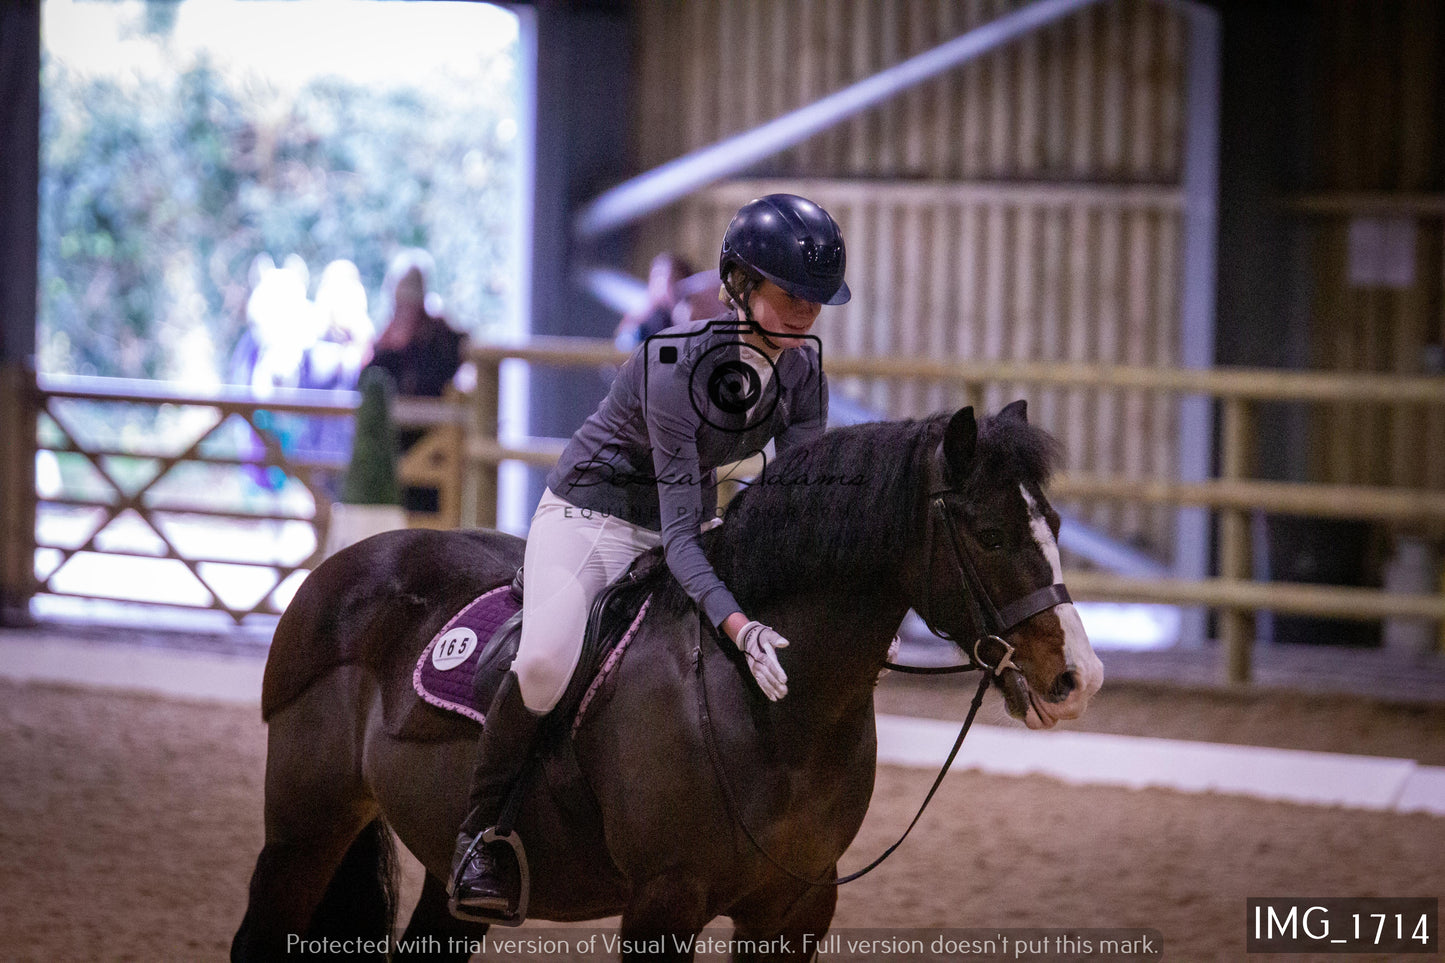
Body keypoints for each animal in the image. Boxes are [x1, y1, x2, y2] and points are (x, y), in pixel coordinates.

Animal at [231, 396, 1098, 954]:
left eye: (1053, 524)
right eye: (988, 532)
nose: (1076, 676)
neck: (772, 714)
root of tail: (345, 565)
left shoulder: (798, 905)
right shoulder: (663, 902)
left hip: (446, 880)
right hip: (306, 827)